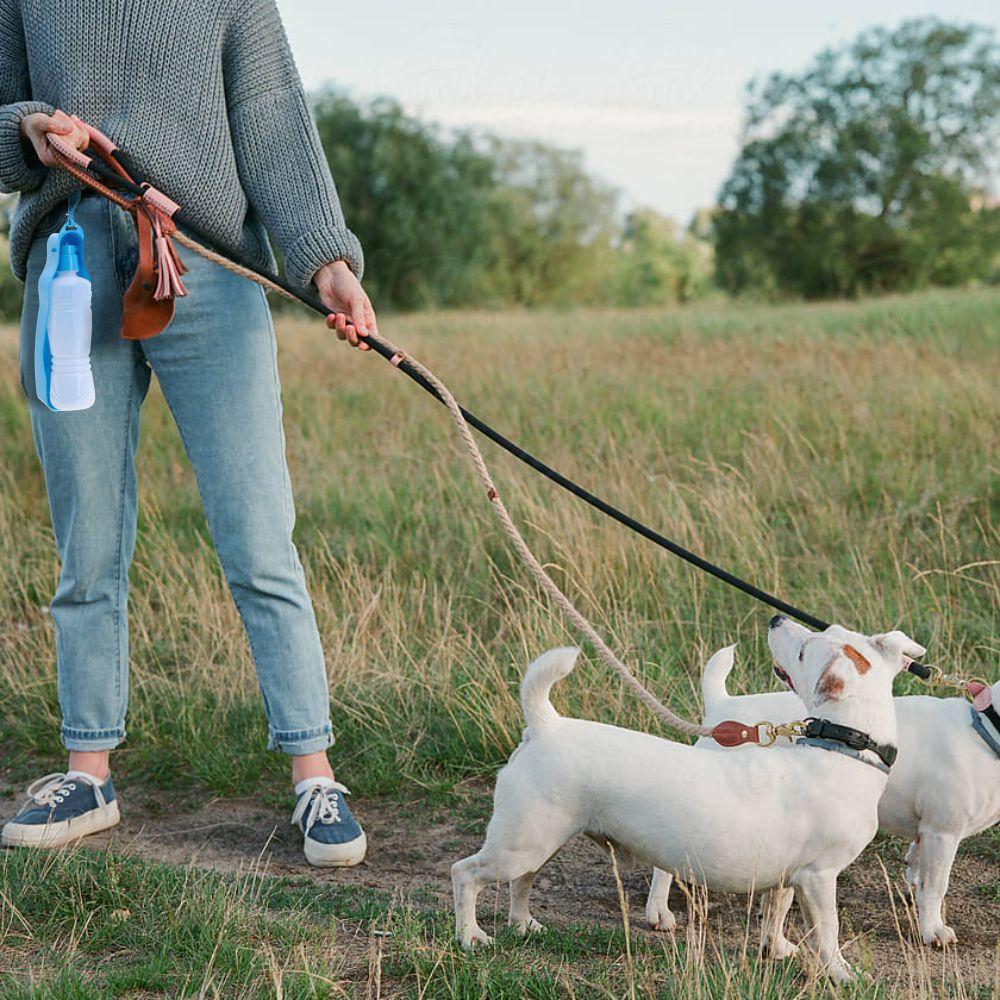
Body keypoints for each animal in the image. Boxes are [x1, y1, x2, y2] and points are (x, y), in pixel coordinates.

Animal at [454, 620, 920, 980]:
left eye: (806, 649)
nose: (774, 619)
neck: (842, 745)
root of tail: (546, 724)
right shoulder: (820, 877)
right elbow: (828, 933)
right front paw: (842, 974)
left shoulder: (793, 877)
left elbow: (776, 912)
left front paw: (777, 949)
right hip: (521, 844)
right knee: (465, 874)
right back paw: (470, 935)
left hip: (537, 841)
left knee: (522, 881)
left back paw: (523, 924)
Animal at [644, 620, 996, 948]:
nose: (776, 619)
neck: (984, 731)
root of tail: (723, 707)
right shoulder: (943, 831)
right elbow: (936, 886)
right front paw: (933, 930)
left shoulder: (927, 830)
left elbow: (919, 868)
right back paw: (659, 911)